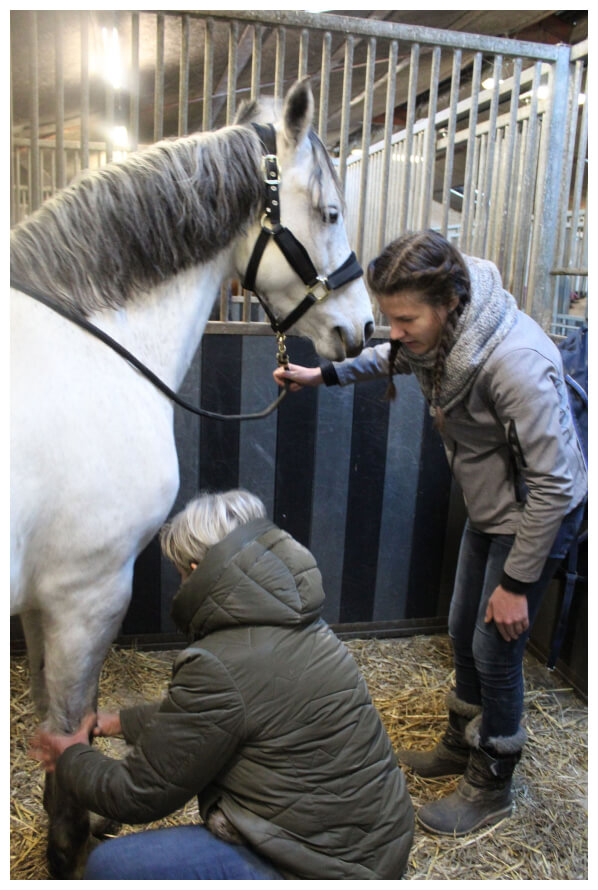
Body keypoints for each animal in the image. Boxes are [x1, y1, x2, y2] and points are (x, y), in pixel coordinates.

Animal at [10, 78, 376, 876]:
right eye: (330, 213)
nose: (363, 330)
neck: (94, 346)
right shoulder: (86, 591)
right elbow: (67, 717)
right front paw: (68, 842)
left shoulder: (43, 602)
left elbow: (52, 709)